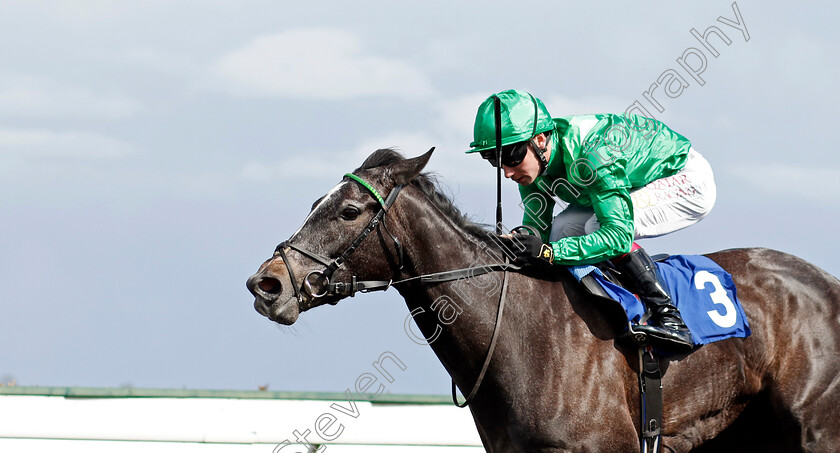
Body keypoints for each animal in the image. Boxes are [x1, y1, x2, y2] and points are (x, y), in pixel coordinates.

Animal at [244, 147, 840, 448]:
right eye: (316, 201)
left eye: (349, 211)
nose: (267, 284)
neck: (522, 335)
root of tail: (825, 283)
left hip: (817, 431)